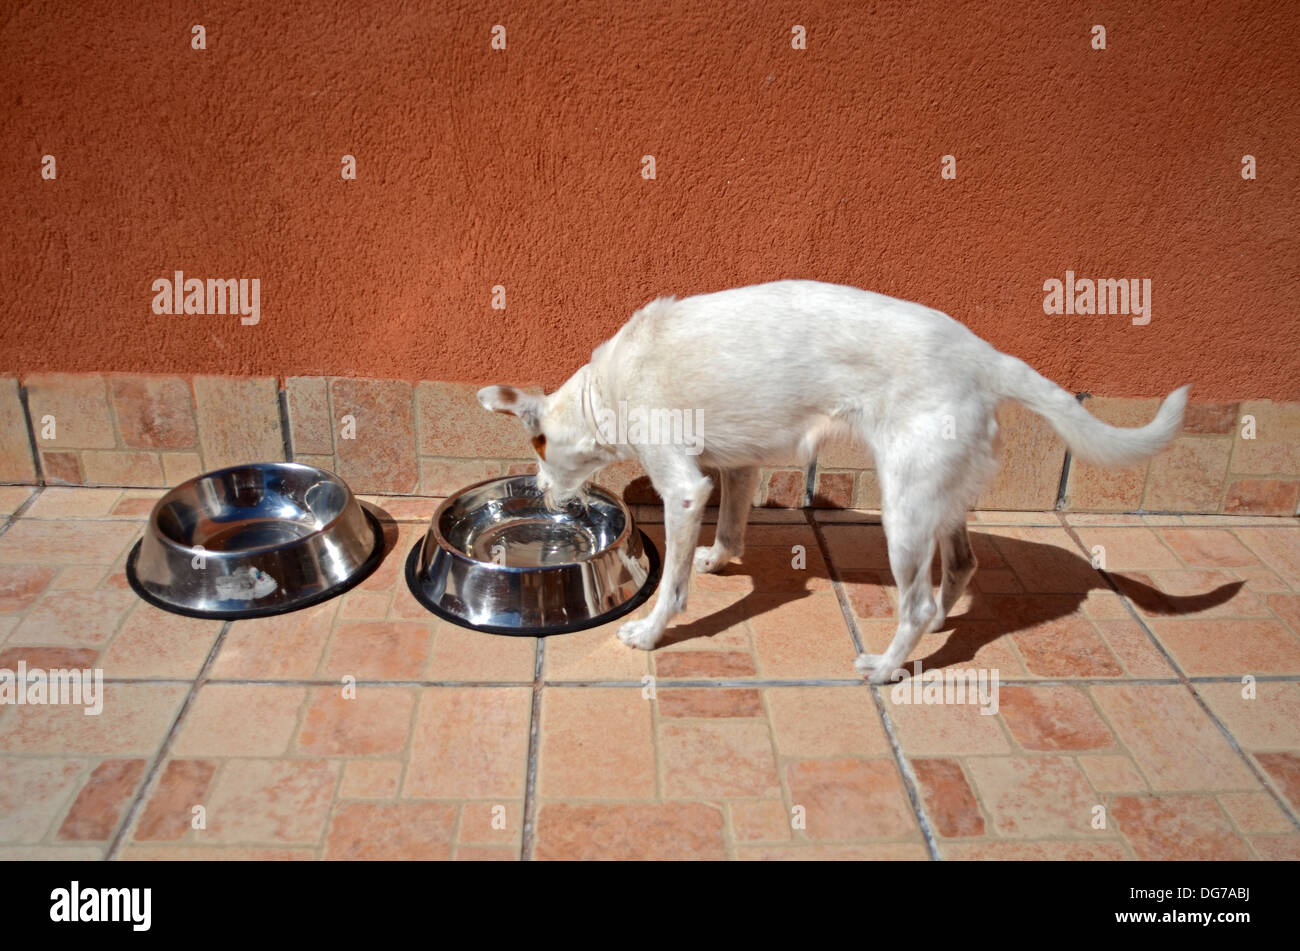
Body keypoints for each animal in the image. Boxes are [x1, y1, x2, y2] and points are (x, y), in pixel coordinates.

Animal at [480, 280, 1190, 685]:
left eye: (538, 449)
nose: (543, 496)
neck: (608, 388)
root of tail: (986, 357)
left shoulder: (683, 486)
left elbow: (673, 588)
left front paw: (653, 632)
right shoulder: (738, 467)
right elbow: (731, 530)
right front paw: (718, 558)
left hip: (905, 513)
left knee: (917, 601)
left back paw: (886, 668)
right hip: (939, 498)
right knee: (960, 567)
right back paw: (937, 630)